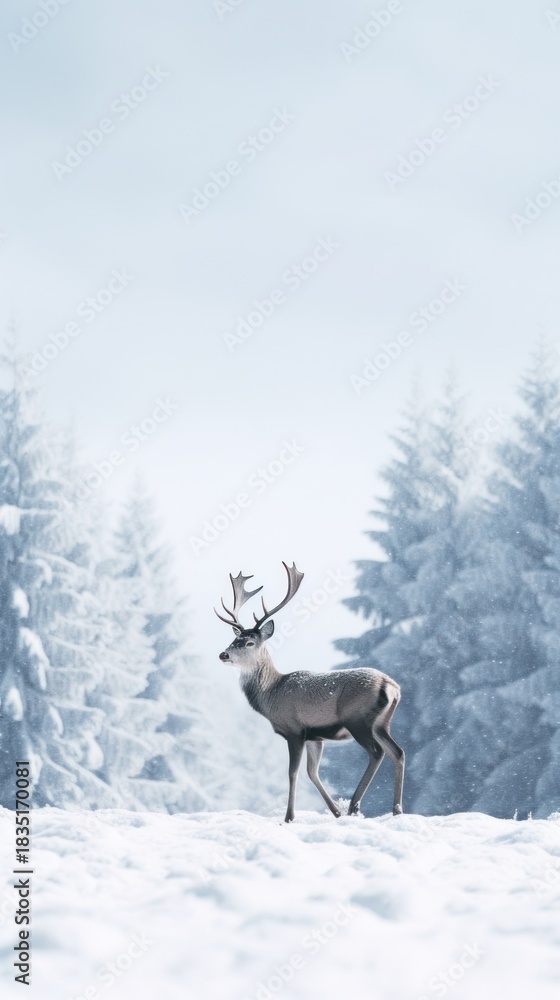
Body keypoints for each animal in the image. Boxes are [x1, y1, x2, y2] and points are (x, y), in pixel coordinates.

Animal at [215, 562, 405, 823]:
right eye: (234, 640)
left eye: (250, 643)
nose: (223, 654)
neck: (272, 694)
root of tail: (391, 686)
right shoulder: (315, 736)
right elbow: (312, 772)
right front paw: (335, 812)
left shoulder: (294, 729)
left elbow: (293, 773)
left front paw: (289, 817)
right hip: (381, 723)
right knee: (398, 752)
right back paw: (396, 809)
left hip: (357, 719)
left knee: (377, 753)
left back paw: (355, 805)